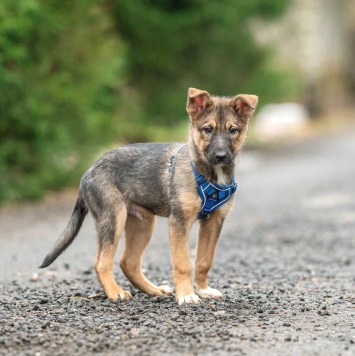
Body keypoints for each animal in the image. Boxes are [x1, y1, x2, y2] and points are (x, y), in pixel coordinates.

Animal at [39, 87, 258, 304]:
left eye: (233, 130)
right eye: (208, 129)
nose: (221, 156)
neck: (208, 173)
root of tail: (88, 172)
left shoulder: (214, 222)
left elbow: (204, 260)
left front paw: (203, 290)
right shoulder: (179, 222)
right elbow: (183, 263)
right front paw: (187, 295)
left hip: (142, 223)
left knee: (128, 262)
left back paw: (154, 290)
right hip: (113, 218)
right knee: (101, 262)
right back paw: (115, 292)